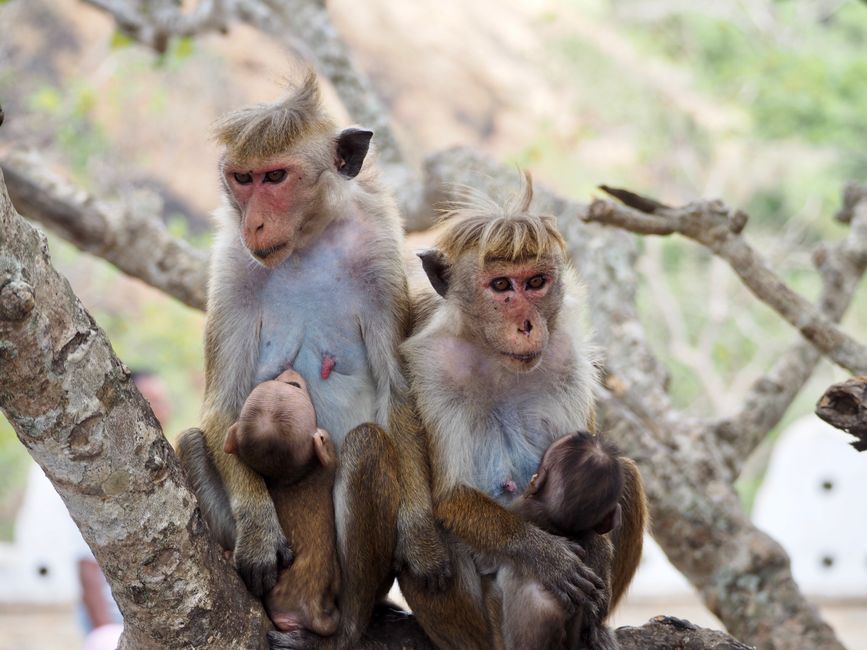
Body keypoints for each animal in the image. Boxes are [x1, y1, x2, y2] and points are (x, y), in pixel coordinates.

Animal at [397, 174, 648, 649]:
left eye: (535, 282)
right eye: (500, 287)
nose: (527, 325)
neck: (496, 359)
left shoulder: (566, 354)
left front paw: (597, 551)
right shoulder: (432, 364)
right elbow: (451, 496)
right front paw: (546, 554)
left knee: (627, 470)